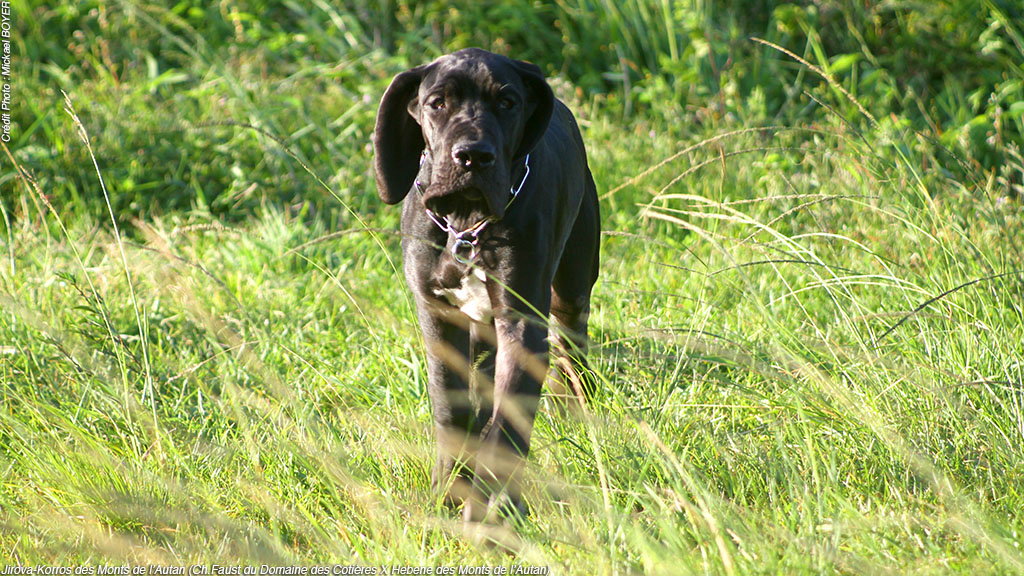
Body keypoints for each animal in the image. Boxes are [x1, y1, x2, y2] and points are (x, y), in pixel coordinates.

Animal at [374, 48, 598, 520]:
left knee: (572, 352)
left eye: (508, 103)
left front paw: (492, 507)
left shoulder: (522, 324)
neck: (467, 223)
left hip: (572, 290)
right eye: (437, 102)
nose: (473, 156)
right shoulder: (439, 317)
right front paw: (450, 488)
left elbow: (508, 419)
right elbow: (450, 406)